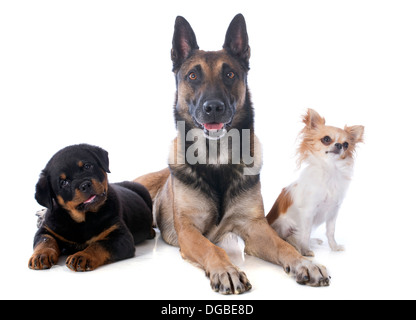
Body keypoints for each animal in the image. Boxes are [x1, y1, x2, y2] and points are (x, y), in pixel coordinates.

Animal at [28, 144, 154, 272]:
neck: (85, 218)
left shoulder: (121, 236)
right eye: (63, 182)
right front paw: (40, 256)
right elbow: (45, 240)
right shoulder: (47, 229)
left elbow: (99, 245)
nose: (85, 185)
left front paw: (82, 256)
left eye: (87, 166)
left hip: (144, 191)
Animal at [135, 13, 330, 294]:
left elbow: (283, 245)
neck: (216, 158)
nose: (214, 107)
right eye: (192, 76)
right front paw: (226, 270)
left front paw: (304, 263)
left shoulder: (255, 227)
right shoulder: (188, 231)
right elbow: (212, 248)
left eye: (229, 74)